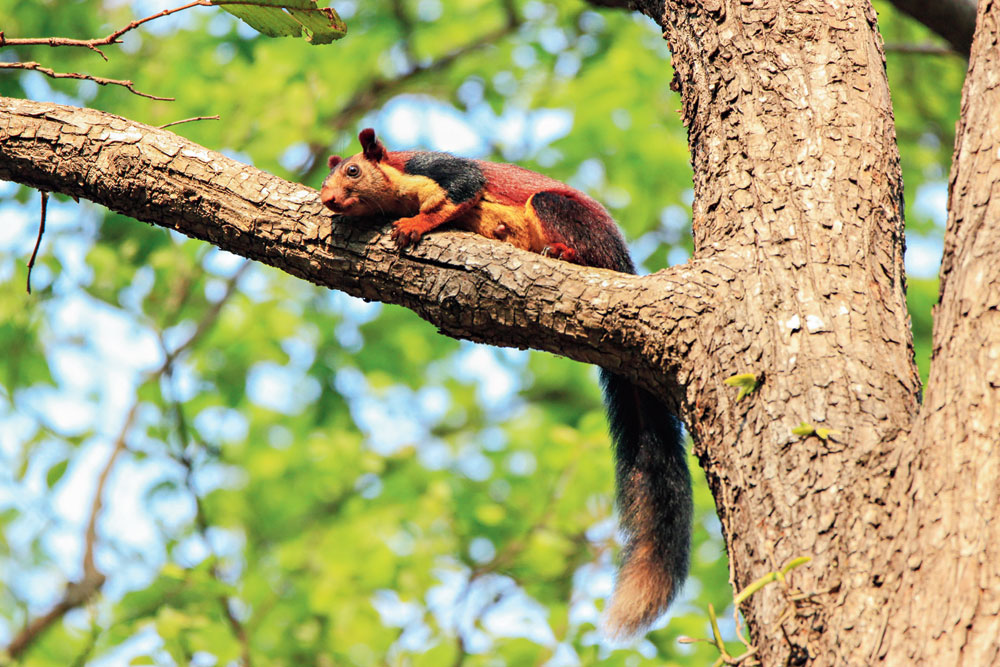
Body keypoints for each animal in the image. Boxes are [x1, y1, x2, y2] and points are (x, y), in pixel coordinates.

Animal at [322, 129, 696, 636]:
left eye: (353, 171)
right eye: (326, 178)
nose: (327, 200)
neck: (398, 181)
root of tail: (623, 262)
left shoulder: (438, 169)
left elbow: (459, 191)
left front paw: (414, 225)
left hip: (562, 212)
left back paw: (564, 253)